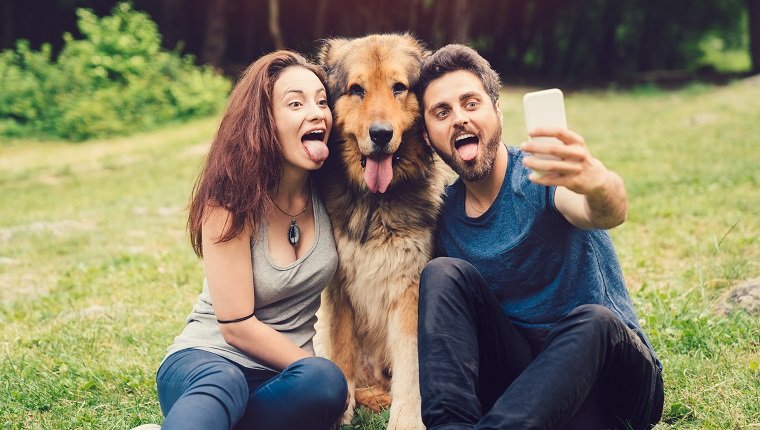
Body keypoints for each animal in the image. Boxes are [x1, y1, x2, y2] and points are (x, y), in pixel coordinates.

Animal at [314, 34, 448, 430]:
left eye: (398, 87)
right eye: (357, 90)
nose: (381, 134)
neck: (375, 204)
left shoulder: (409, 287)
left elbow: (409, 362)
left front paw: (407, 418)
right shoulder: (340, 289)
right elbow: (341, 350)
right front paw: (340, 412)